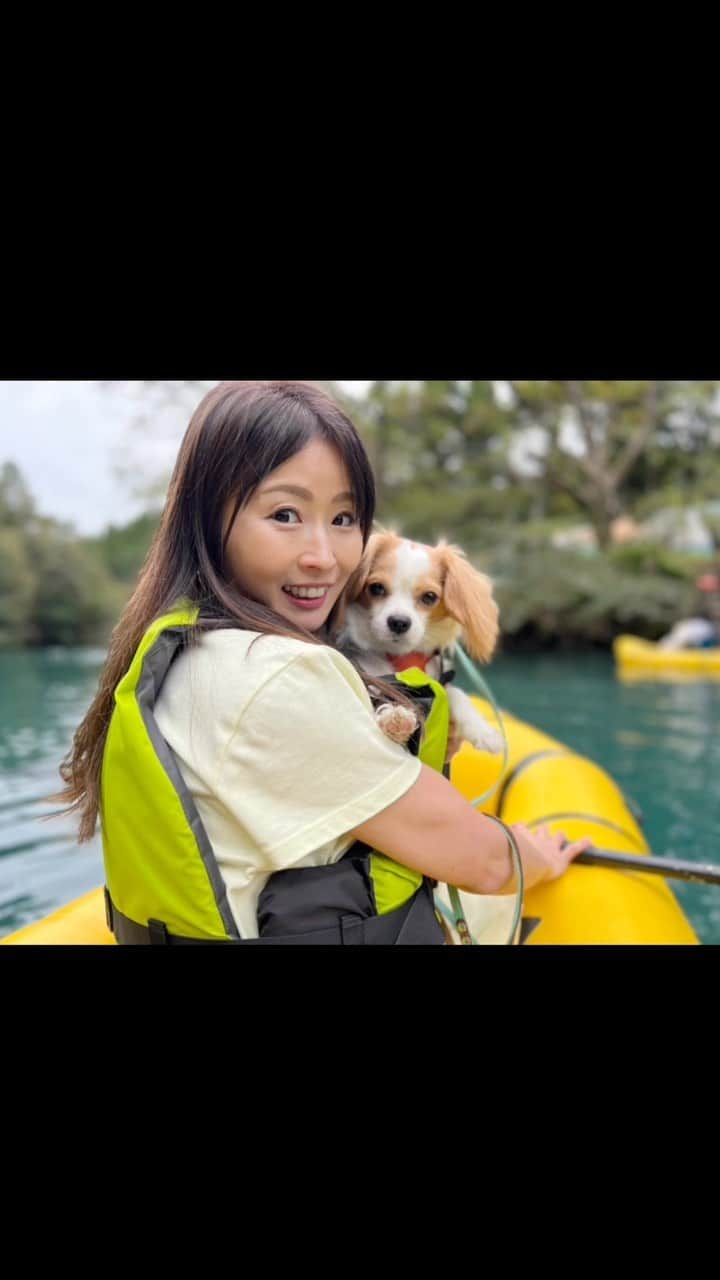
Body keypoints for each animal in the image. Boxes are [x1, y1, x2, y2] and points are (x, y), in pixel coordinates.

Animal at [338, 532, 502, 757]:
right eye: (376, 588)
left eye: (429, 597)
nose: (399, 622)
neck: (402, 657)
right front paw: (394, 719)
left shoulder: (440, 680)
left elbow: (456, 693)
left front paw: (483, 731)